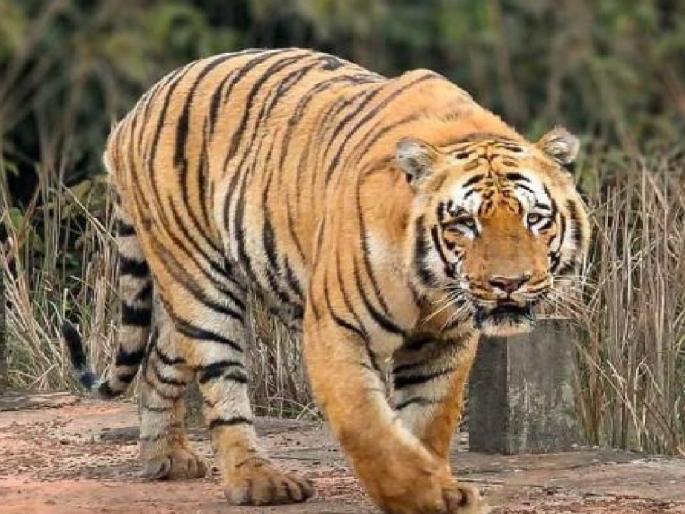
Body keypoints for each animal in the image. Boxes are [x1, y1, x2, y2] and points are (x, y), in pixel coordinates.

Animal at [63, 48, 590, 514]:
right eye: (464, 224)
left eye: (535, 219)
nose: (508, 283)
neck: (431, 284)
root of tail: (133, 113)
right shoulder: (336, 326)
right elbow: (366, 423)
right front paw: (420, 494)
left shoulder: (445, 339)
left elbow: (427, 420)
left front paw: (435, 485)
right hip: (201, 284)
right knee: (222, 386)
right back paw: (259, 481)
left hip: (179, 298)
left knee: (158, 363)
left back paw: (165, 459)